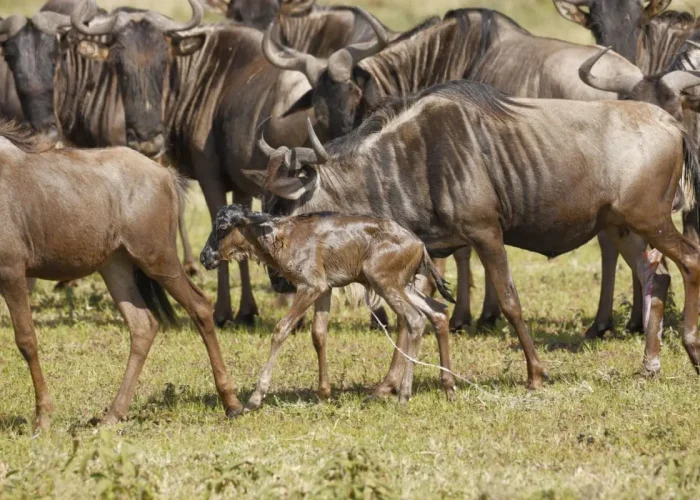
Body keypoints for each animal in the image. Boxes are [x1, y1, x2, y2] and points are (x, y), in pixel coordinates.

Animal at [0, 123, 241, 432]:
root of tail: (164, 174)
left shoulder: (12, 271)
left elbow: (26, 340)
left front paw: (43, 417)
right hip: (116, 267)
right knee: (143, 325)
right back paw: (114, 413)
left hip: (157, 259)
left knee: (199, 306)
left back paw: (232, 402)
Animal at [200, 203, 456, 410]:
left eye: (222, 227)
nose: (204, 257)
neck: (283, 236)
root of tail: (419, 245)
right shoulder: (325, 289)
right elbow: (318, 334)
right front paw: (324, 394)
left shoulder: (310, 286)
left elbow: (281, 329)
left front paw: (255, 398)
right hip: (403, 286)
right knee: (438, 312)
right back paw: (449, 387)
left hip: (384, 283)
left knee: (415, 319)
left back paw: (404, 395)